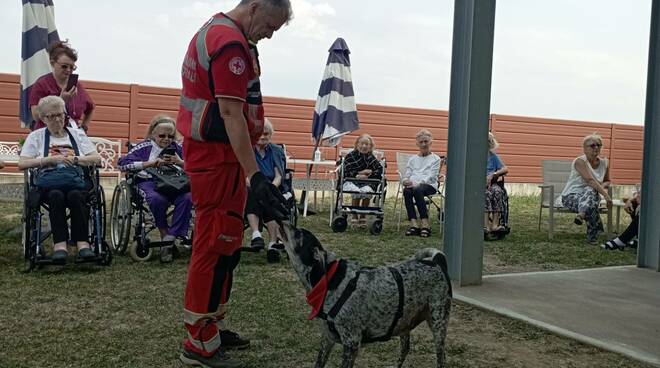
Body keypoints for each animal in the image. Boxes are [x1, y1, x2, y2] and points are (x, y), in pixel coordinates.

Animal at [278, 224, 454, 368]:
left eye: (298, 233)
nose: (282, 220)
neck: (330, 279)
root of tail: (437, 262)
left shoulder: (351, 343)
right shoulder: (327, 339)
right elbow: (319, 362)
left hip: (438, 323)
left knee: (442, 358)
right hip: (404, 323)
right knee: (405, 349)